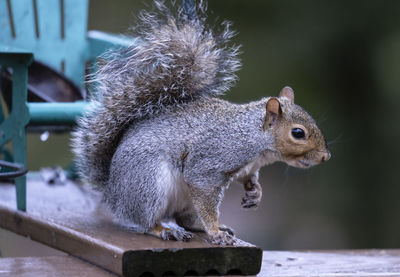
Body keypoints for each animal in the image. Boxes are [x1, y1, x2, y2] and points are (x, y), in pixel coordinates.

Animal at [70, 0, 330, 244]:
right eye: (298, 133)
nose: (326, 157)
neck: (254, 138)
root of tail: (112, 194)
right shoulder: (213, 161)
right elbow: (202, 186)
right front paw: (214, 232)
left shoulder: (247, 166)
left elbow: (249, 179)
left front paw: (255, 192)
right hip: (149, 185)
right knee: (145, 221)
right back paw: (165, 229)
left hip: (182, 200)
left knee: (185, 219)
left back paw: (199, 226)